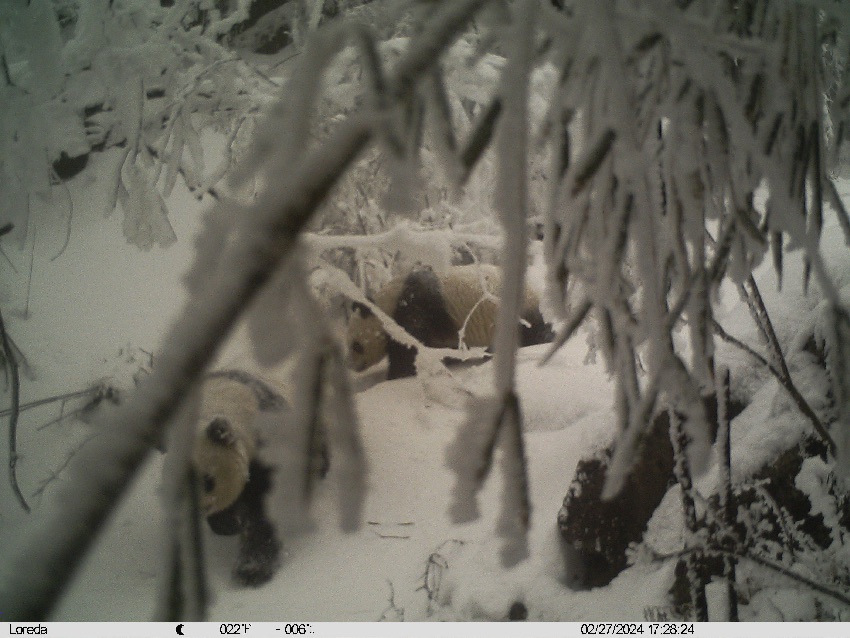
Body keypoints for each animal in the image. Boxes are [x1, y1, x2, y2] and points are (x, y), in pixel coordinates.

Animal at [191, 369, 328, 587]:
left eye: (208, 480)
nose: (201, 508)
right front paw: (227, 523)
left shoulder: (270, 441)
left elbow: (267, 508)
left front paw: (252, 569)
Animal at [347, 264, 553, 380]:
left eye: (356, 345)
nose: (352, 366)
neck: (387, 305)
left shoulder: (413, 310)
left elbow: (409, 348)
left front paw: (397, 374)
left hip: (516, 310)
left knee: (532, 331)